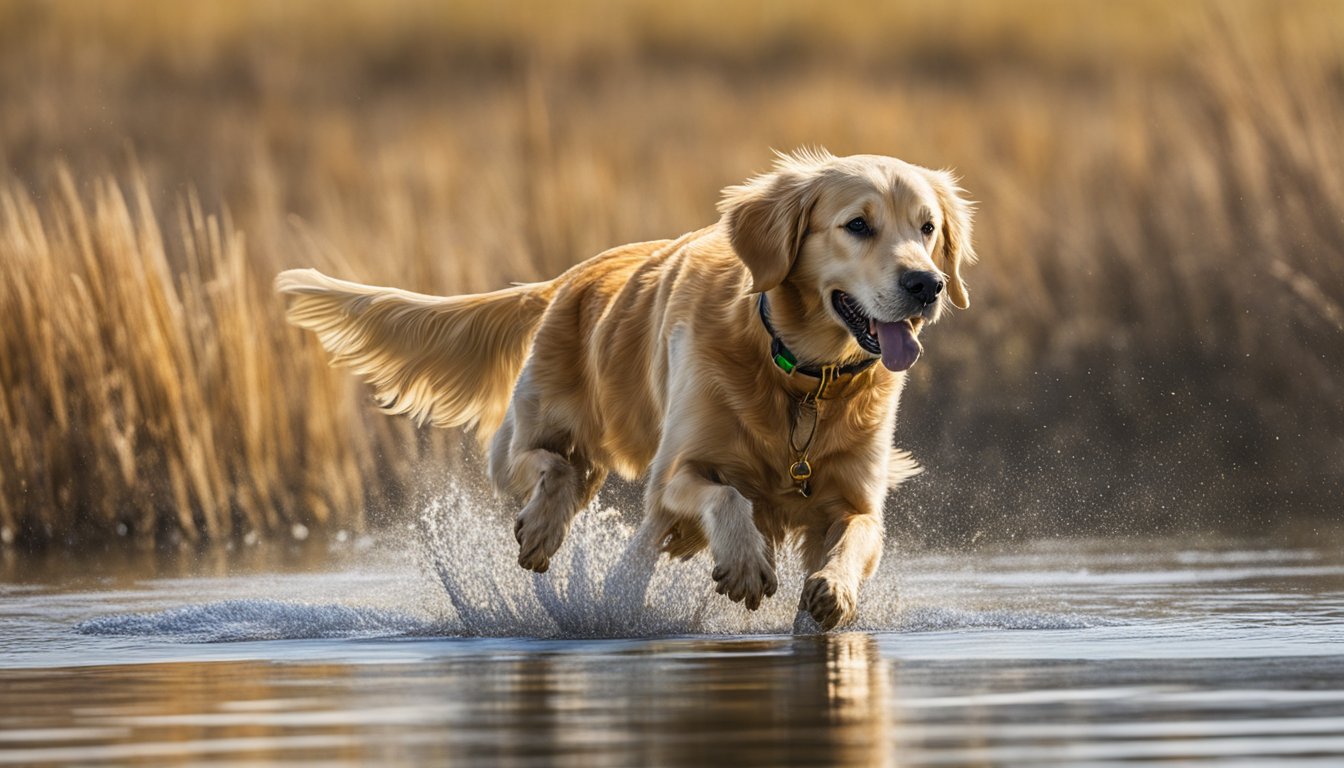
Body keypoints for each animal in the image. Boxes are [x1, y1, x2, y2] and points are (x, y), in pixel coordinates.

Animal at [278, 149, 978, 632]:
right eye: (857, 225)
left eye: (927, 228)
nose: (927, 285)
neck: (797, 376)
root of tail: (565, 279)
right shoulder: (675, 471)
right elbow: (727, 497)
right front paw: (746, 564)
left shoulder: (856, 496)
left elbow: (855, 535)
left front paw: (832, 590)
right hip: (525, 441)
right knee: (558, 475)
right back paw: (545, 531)